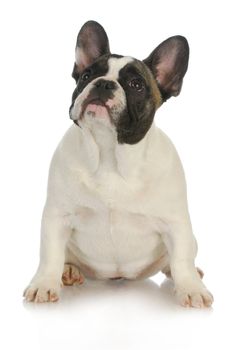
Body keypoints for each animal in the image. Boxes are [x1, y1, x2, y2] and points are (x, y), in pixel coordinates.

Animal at [24, 20, 214, 308]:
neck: (109, 154)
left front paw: (191, 288)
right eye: (86, 76)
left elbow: (181, 258)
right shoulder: (57, 217)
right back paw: (68, 271)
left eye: (136, 84)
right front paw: (45, 284)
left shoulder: (176, 223)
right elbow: (50, 254)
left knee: (178, 259)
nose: (103, 84)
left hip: (191, 240)